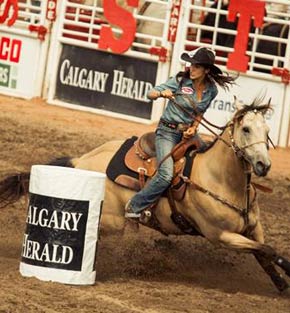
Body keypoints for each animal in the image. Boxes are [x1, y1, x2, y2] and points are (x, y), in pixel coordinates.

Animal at [0, 97, 290, 292]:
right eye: (246, 129)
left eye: (267, 131)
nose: (264, 165)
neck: (220, 179)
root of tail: (82, 160)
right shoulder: (222, 237)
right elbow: (269, 250)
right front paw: (286, 270)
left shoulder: (253, 229)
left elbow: (263, 255)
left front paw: (280, 283)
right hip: (112, 221)